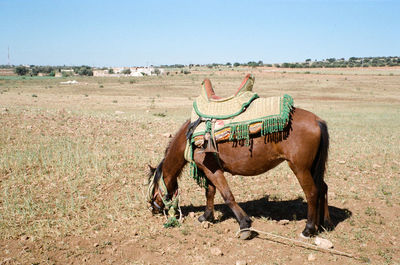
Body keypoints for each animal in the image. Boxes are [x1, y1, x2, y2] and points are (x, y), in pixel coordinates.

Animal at [147, 105, 332, 239]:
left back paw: (308, 229)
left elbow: (227, 195)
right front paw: (206, 216)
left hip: (300, 168)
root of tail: (317, 120)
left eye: (153, 188)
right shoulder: (208, 169)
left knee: (312, 193)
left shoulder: (213, 170)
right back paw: (325, 223)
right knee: (323, 187)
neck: (190, 138)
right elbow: (210, 192)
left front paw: (244, 225)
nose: (153, 209)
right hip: (313, 167)